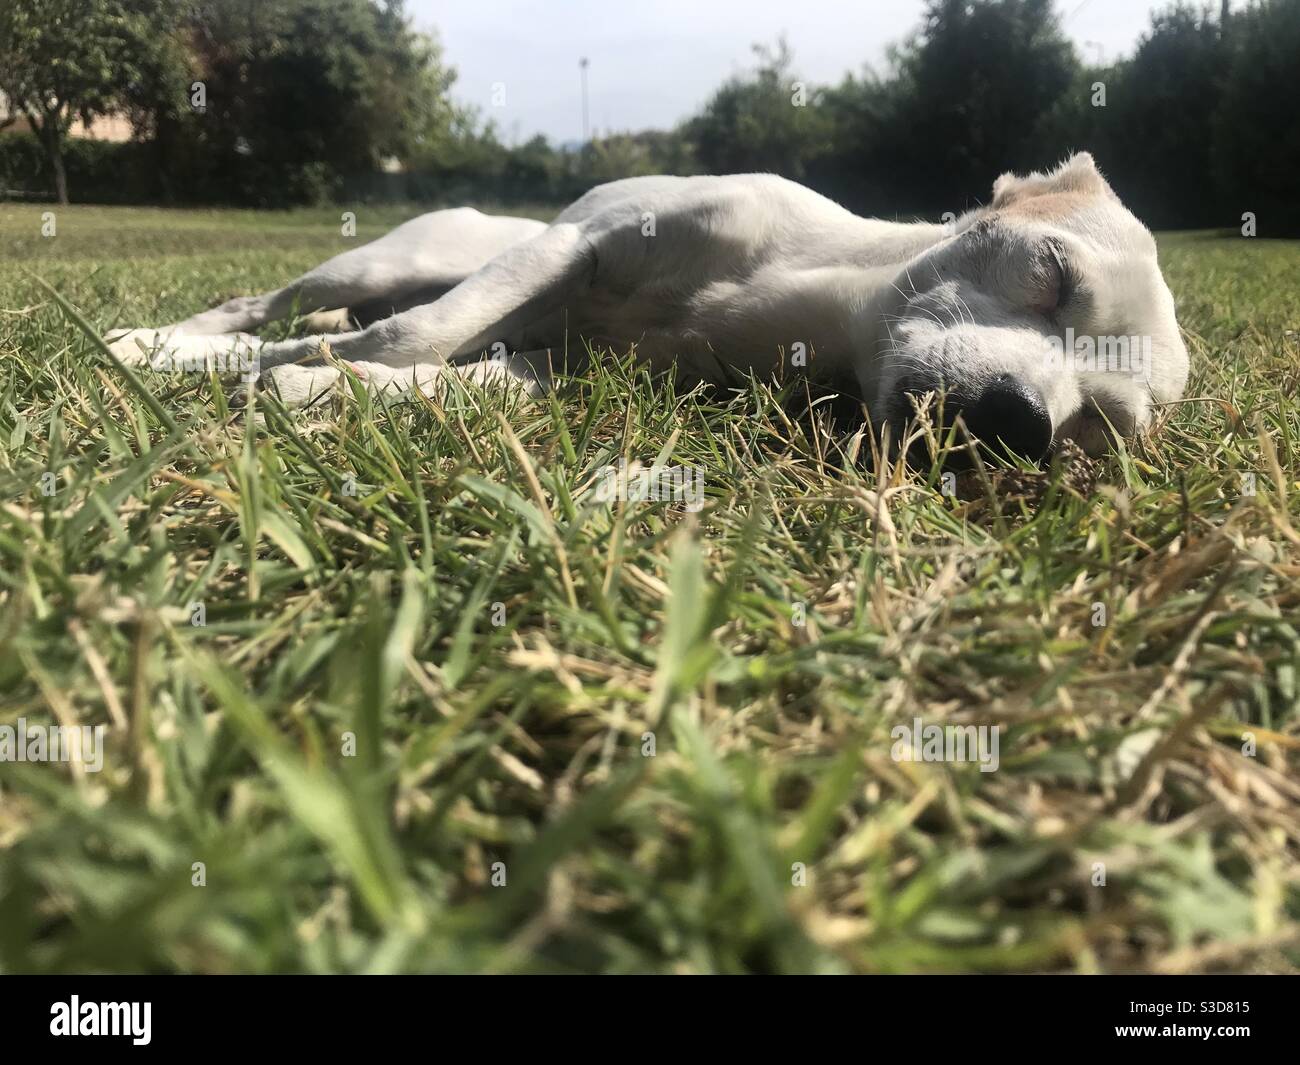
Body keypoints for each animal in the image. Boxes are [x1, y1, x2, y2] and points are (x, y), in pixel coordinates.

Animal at [109, 152, 1190, 460]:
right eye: (1051, 273)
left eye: (1098, 427)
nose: (1018, 425)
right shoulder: (575, 242)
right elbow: (422, 333)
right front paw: (283, 377)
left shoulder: (575, 368)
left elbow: (457, 376)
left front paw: (336, 393)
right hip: (380, 261)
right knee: (278, 301)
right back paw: (160, 343)